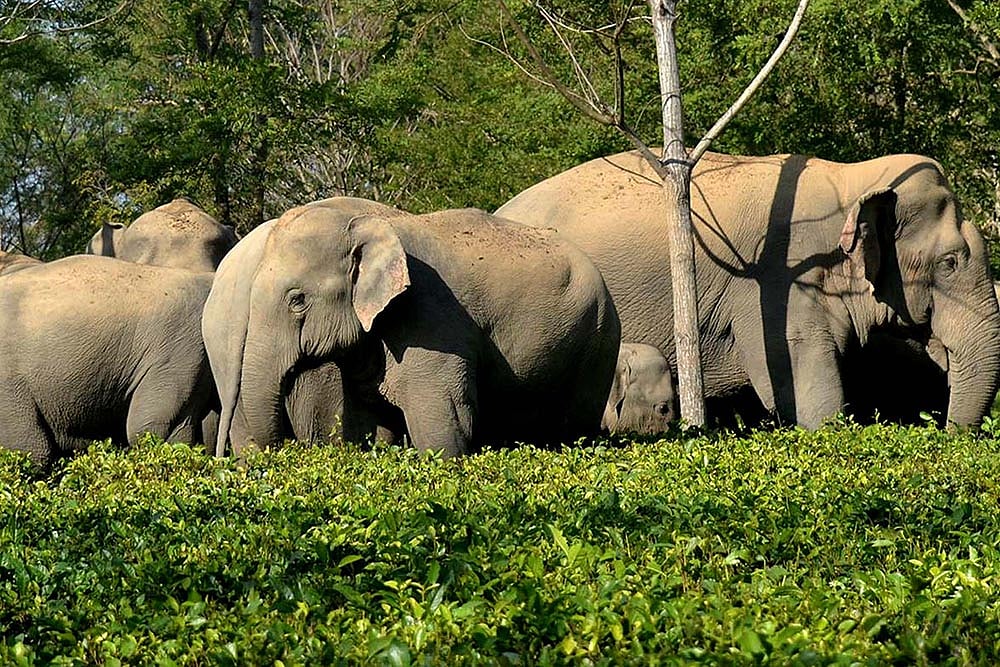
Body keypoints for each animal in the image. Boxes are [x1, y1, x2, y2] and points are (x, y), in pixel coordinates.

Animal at [202, 197, 621, 457]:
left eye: (297, 300)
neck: (367, 227)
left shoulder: (432, 322)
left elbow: (443, 420)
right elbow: (371, 421)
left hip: (599, 340)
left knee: (574, 424)